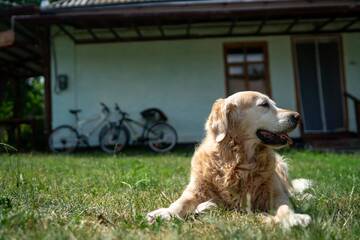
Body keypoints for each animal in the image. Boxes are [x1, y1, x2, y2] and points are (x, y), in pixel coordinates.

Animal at [146, 91, 312, 228]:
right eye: (264, 104)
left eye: (274, 104)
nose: (297, 116)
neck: (236, 160)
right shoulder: (195, 190)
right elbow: (179, 203)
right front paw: (165, 213)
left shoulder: (276, 193)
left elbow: (285, 206)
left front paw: (293, 218)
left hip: (281, 166)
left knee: (292, 191)